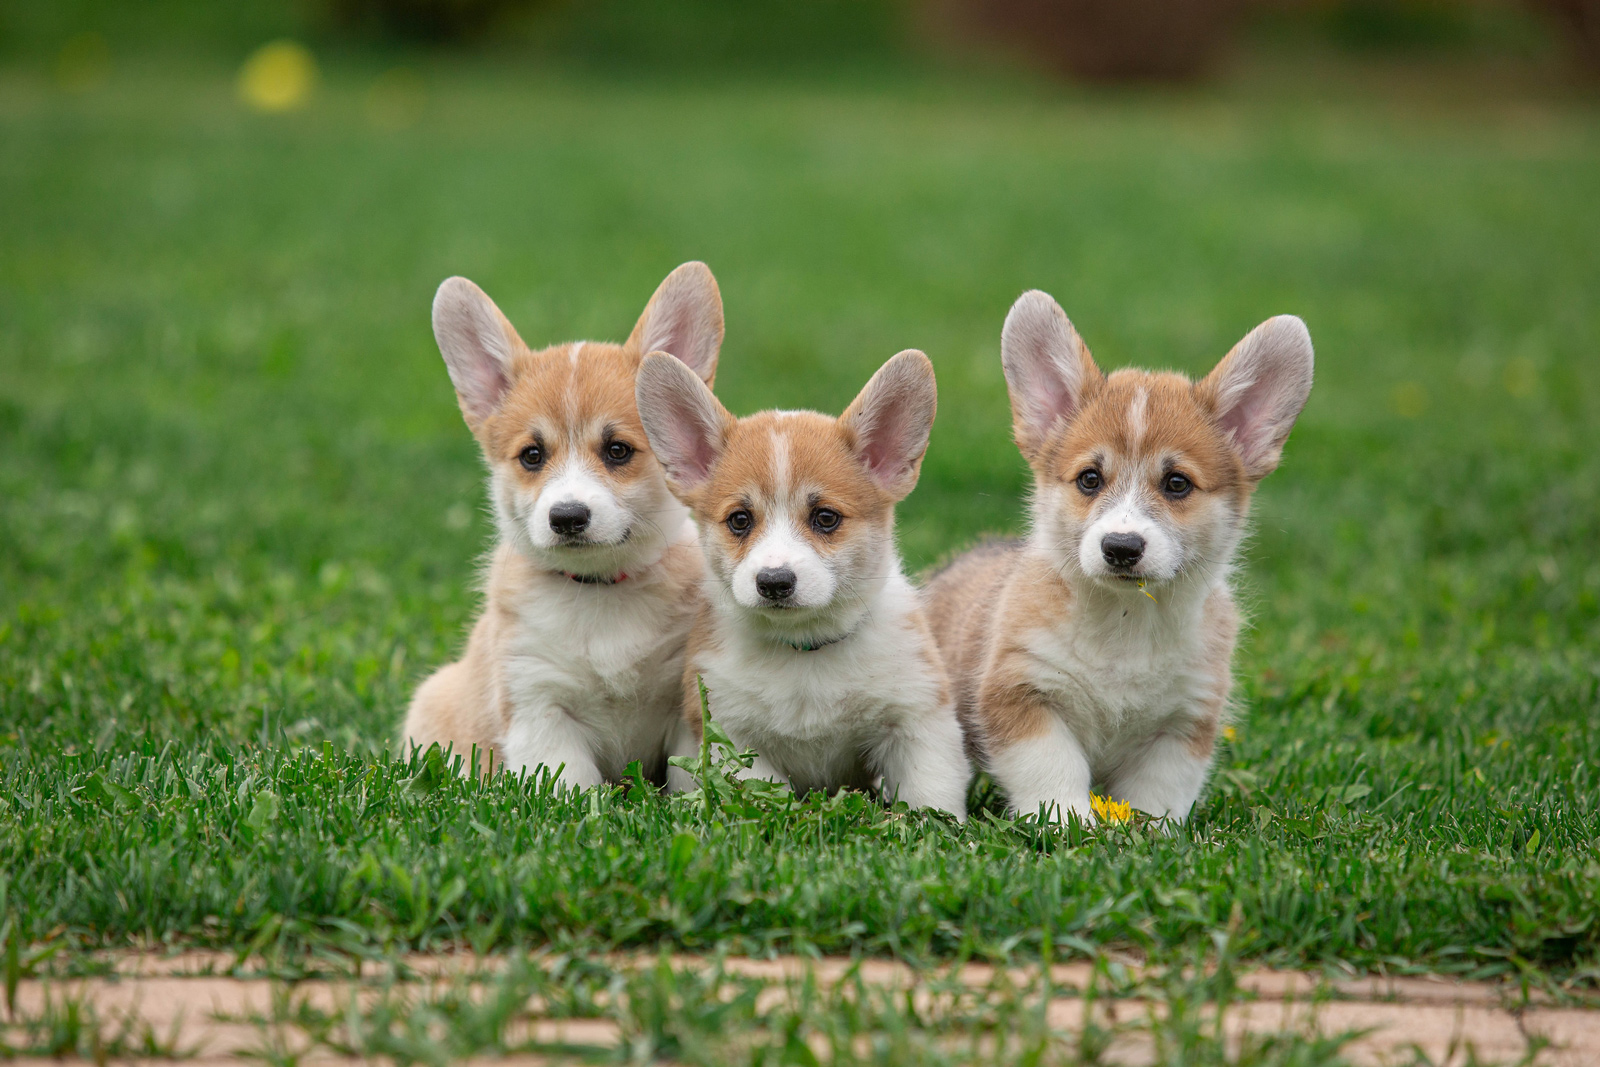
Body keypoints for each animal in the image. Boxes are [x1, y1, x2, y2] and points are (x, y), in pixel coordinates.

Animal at [400, 262, 726, 790]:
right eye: (533, 455)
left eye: (618, 450)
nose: (568, 516)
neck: (600, 593)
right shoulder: (538, 704)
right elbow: (572, 788)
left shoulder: (686, 704)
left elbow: (689, 778)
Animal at [633, 350, 960, 819]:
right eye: (739, 520)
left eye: (825, 518)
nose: (774, 582)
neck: (805, 650)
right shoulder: (734, 736)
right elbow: (768, 793)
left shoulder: (918, 720)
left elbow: (931, 798)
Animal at [928, 292, 1312, 825]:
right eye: (1090, 479)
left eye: (1177, 484)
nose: (1121, 547)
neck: (1126, 624)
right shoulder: (1022, 693)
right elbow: (1053, 770)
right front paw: (1068, 823)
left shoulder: (1185, 719)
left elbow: (1159, 793)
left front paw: (1148, 832)